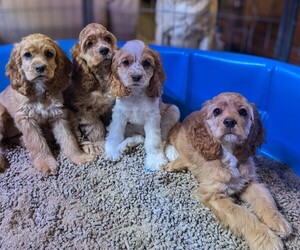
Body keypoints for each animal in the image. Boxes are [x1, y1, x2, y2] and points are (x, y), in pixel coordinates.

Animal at [0, 33, 92, 175]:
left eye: (49, 54)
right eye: (27, 54)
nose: (40, 67)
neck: (39, 90)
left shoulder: (58, 115)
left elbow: (68, 138)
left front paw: (78, 156)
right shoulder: (26, 119)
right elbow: (37, 143)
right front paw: (46, 163)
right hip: (1, 112)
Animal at [63, 23, 118, 156]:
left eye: (108, 39)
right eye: (89, 43)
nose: (105, 50)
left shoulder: (109, 106)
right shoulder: (85, 110)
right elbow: (96, 127)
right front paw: (101, 144)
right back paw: (89, 147)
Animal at [104, 39, 179, 172]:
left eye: (146, 63)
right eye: (125, 62)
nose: (136, 77)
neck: (136, 94)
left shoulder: (152, 118)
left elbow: (154, 141)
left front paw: (155, 160)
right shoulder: (119, 114)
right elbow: (115, 133)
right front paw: (112, 150)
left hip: (174, 111)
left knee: (163, 140)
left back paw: (171, 151)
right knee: (137, 137)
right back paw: (130, 143)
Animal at [165, 92, 292, 250]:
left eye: (243, 111)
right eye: (217, 111)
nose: (230, 121)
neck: (229, 152)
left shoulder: (250, 183)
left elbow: (264, 200)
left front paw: (278, 221)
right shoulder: (215, 195)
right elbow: (243, 214)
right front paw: (267, 239)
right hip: (178, 139)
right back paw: (174, 164)